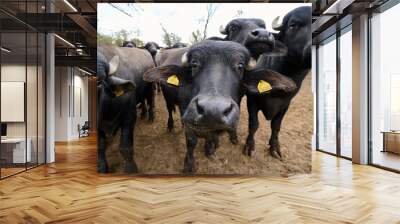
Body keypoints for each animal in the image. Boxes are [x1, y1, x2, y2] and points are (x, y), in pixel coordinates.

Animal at [96, 44, 153, 173]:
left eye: (99, 82)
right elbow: (100, 147)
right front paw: (102, 168)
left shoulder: (129, 116)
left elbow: (125, 147)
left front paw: (131, 168)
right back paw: (143, 114)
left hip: (151, 88)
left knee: (151, 101)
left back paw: (151, 117)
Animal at [142, 40, 296, 173]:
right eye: (194, 64)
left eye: (240, 66)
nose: (212, 111)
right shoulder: (188, 113)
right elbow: (191, 141)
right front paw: (189, 165)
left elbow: (211, 136)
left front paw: (210, 149)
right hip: (167, 97)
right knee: (169, 110)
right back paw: (171, 126)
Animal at [242, 5, 314, 159]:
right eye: (293, 25)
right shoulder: (252, 99)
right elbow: (254, 124)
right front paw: (249, 145)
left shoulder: (285, 105)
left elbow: (276, 126)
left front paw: (274, 147)